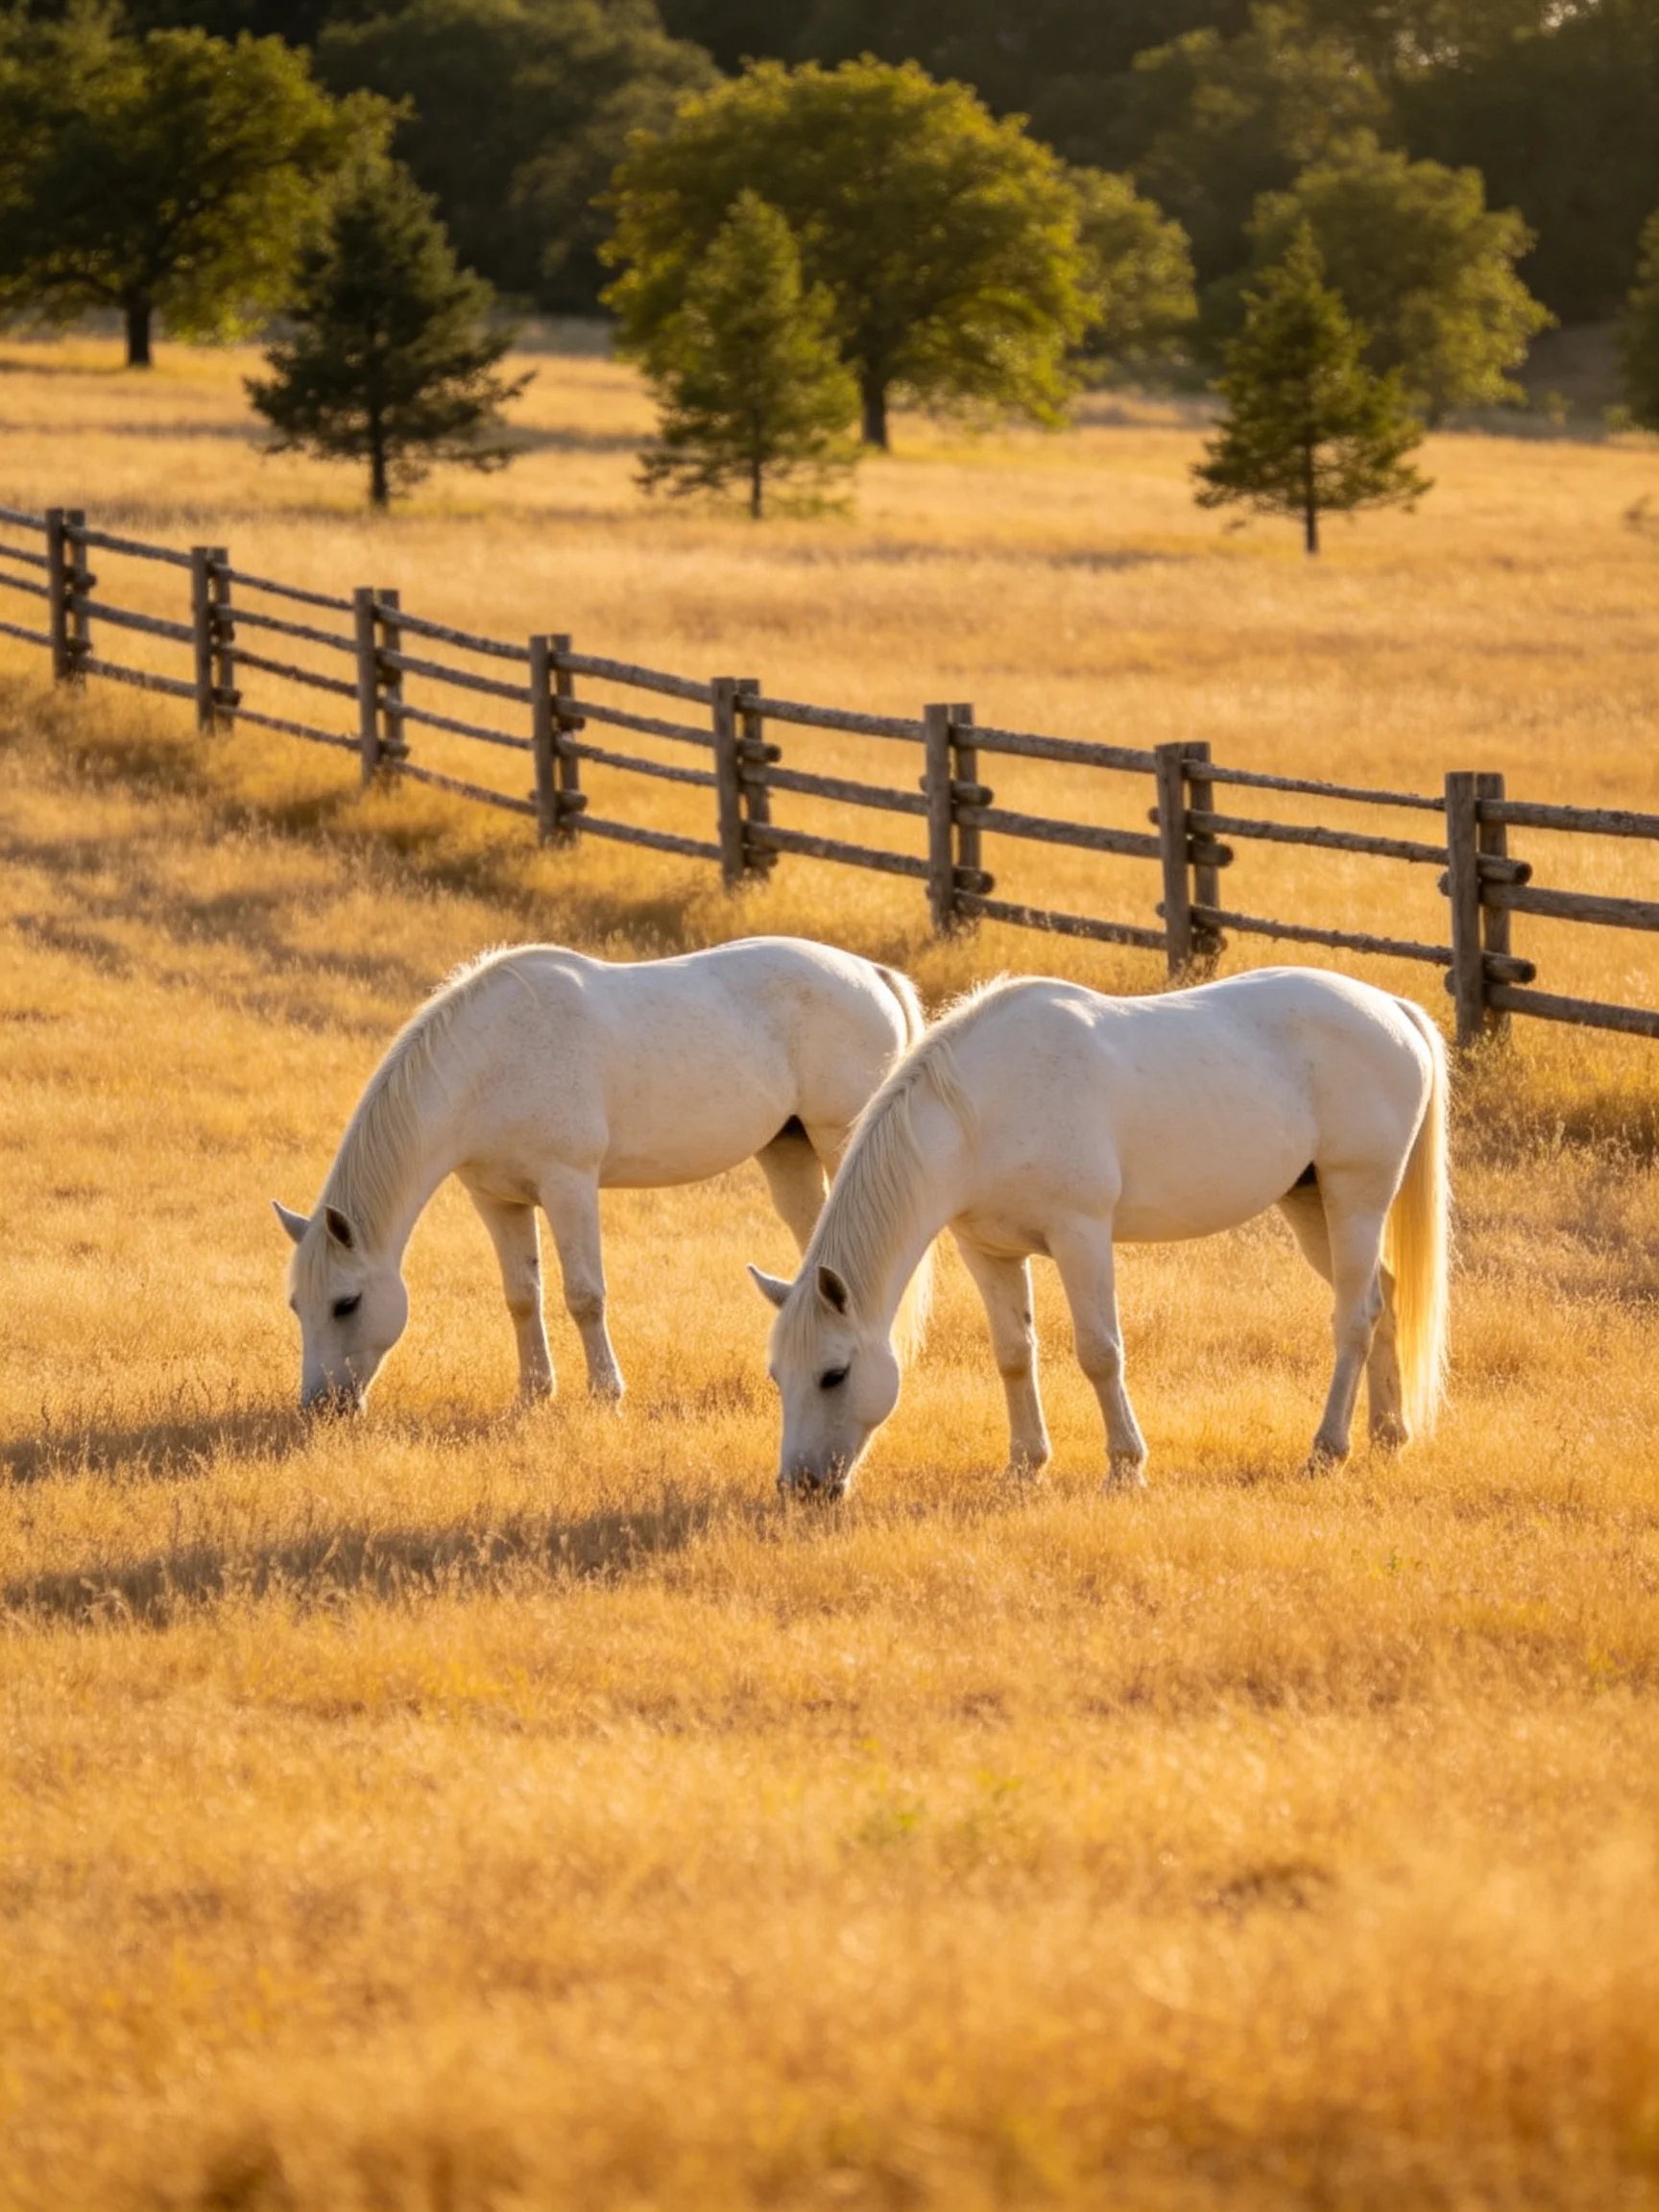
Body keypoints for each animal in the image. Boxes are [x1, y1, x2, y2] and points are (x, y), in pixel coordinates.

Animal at [275, 937, 922, 1415]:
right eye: (296, 1305)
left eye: (346, 1303)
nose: (321, 1405)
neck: (489, 1062)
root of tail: (872, 973)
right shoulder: (496, 1199)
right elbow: (522, 1295)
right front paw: (534, 1395)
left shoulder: (569, 1186)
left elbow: (584, 1295)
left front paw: (606, 1394)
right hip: (785, 1148)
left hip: (838, 1138)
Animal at [751, 966, 1449, 1497]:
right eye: (778, 1376)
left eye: (834, 1374)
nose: (800, 1488)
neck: (981, 1108)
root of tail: (1393, 1009)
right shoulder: (987, 1250)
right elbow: (1014, 1353)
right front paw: (1024, 1467)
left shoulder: (1080, 1235)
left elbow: (1099, 1352)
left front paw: (1125, 1468)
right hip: (1309, 1203)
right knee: (1383, 1299)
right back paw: (1389, 1435)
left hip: (1356, 1195)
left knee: (1354, 1317)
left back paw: (1328, 1449)